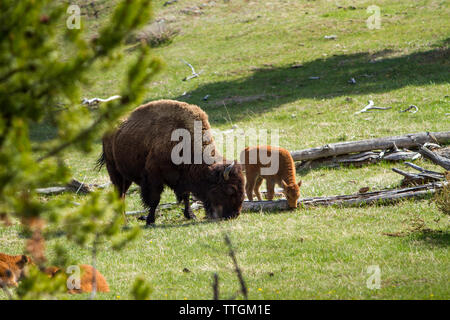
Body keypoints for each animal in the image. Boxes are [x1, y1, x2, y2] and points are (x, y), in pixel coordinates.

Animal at [97, 100, 244, 225]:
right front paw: (150, 221)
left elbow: (185, 195)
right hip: (114, 171)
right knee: (119, 195)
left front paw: (190, 215)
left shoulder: (183, 177)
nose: (234, 215)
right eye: (231, 189)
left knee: (121, 195)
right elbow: (155, 199)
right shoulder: (154, 176)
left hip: (126, 176)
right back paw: (123, 220)